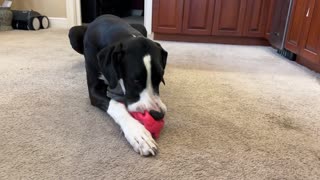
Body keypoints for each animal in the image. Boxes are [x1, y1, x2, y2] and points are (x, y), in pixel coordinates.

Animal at [67, 15, 168, 156]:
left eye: (159, 78)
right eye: (135, 80)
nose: (158, 115)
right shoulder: (94, 90)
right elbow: (116, 105)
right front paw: (138, 133)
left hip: (142, 27)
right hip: (73, 32)